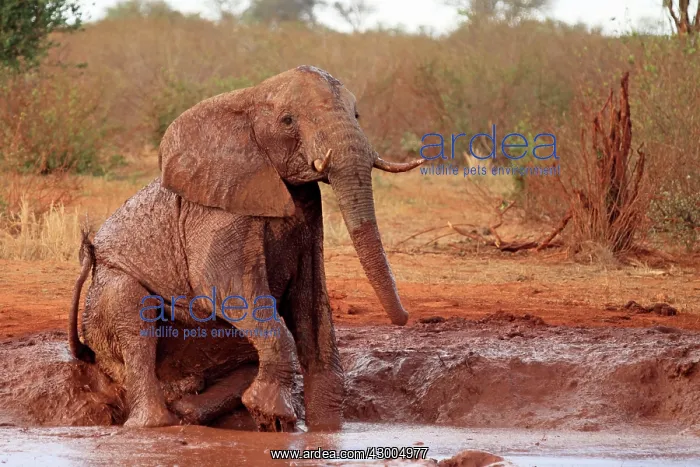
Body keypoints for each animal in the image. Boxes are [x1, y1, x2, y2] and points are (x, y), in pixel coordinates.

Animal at [67, 65, 424, 432]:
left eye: (356, 115)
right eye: (287, 121)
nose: (404, 318)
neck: (247, 99)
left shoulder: (309, 215)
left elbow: (311, 305)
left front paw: (324, 430)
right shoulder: (217, 215)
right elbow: (227, 290)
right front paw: (276, 416)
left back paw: (186, 408)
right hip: (105, 295)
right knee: (133, 314)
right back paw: (153, 424)